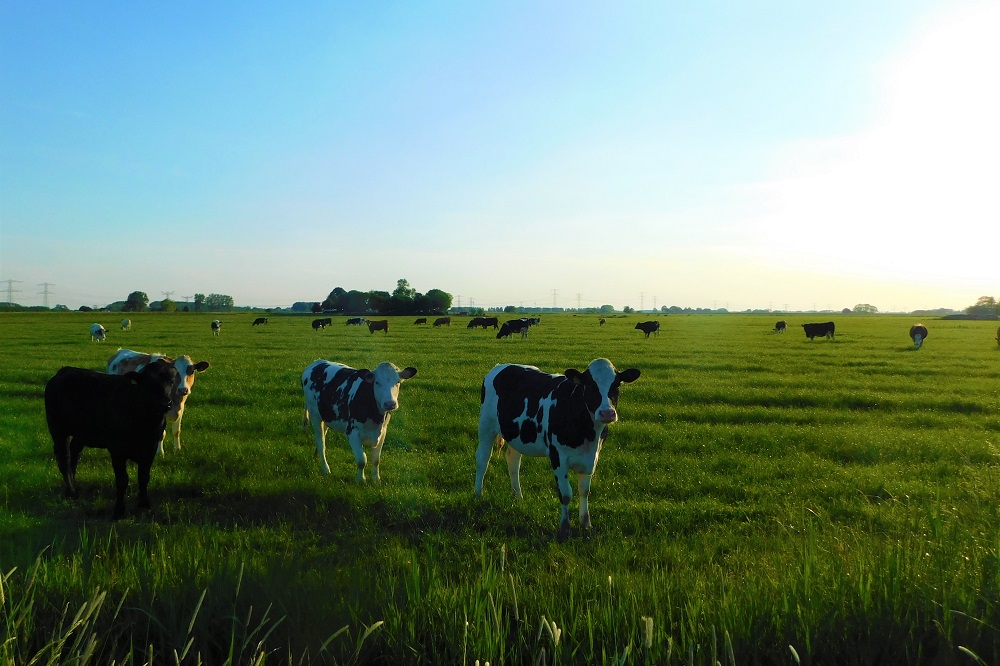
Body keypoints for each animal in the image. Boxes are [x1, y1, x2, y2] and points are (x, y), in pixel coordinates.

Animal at [44, 358, 179, 520]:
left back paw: (74, 486)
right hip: (59, 430)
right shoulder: (117, 450)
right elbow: (122, 480)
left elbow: (143, 477)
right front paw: (119, 511)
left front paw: (144, 505)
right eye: (148, 382)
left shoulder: (150, 448)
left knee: (74, 457)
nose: (165, 403)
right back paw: (71, 492)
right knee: (64, 459)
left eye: (171, 381)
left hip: (80, 434)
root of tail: (63, 371)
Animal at [474, 358, 640, 540]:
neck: (588, 433)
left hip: (517, 434)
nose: (607, 413)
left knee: (513, 461)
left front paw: (586, 524)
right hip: (486, 425)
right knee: (482, 460)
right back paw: (478, 496)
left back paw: (518, 496)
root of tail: (501, 365)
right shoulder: (558, 456)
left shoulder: (592, 457)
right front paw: (565, 528)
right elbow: (565, 494)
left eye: (617, 385)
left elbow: (584, 491)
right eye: (590, 385)